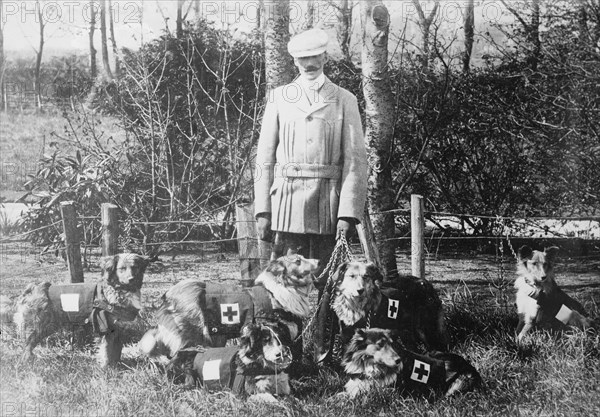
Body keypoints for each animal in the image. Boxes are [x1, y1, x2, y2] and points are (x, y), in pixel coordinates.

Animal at [0, 252, 150, 366]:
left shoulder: (117, 329)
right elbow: (107, 352)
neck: (118, 290)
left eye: (135, 267)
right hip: (38, 326)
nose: (131, 279)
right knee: (27, 345)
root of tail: (31, 289)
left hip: (48, 327)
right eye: (122, 268)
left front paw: (117, 366)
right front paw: (107, 369)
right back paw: (26, 363)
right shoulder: (104, 328)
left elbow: (116, 351)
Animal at [314, 262, 446, 362]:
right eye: (351, 276)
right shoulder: (347, 337)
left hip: (426, 331)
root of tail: (425, 283)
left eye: (366, 276)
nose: (360, 290)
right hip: (408, 333)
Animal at [340, 328, 480, 396]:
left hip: (460, 381)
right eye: (380, 344)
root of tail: (468, 364)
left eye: (392, 344)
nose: (398, 360)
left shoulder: (385, 391)